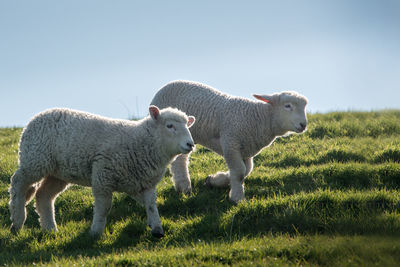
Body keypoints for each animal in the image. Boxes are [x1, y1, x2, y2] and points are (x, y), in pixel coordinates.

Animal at [8, 105, 196, 238]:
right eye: (169, 126)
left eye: (188, 126)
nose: (190, 144)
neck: (142, 142)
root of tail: (37, 116)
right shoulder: (102, 175)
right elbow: (104, 207)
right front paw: (96, 232)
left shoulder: (144, 183)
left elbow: (151, 205)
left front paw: (157, 229)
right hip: (35, 160)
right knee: (18, 183)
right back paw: (17, 221)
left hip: (57, 172)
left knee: (43, 196)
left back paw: (50, 229)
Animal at [151, 80, 310, 204]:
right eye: (287, 106)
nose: (303, 125)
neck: (259, 118)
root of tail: (167, 85)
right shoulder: (230, 143)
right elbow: (239, 172)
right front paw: (237, 198)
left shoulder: (246, 150)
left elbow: (246, 170)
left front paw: (214, 180)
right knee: (180, 161)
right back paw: (184, 187)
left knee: (180, 160)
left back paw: (182, 186)